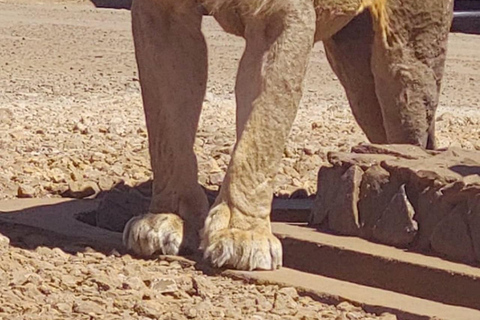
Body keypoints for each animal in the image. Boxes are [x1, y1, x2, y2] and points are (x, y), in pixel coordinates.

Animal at [122, 0, 452, 270]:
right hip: (356, 71)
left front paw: (243, 234)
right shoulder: (162, 15)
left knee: (414, 138)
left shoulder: (279, 17)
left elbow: (261, 132)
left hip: (404, 64)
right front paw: (169, 218)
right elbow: (167, 131)